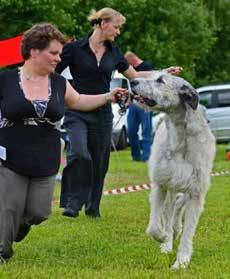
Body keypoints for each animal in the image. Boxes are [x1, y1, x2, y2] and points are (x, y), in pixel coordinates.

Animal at [131, 71, 216, 270]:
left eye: (160, 80)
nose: (132, 81)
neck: (179, 140)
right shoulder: (161, 184)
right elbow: (155, 226)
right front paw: (164, 238)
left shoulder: (196, 191)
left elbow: (188, 232)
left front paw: (181, 261)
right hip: (171, 186)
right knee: (170, 210)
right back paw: (169, 238)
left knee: (178, 204)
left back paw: (176, 229)